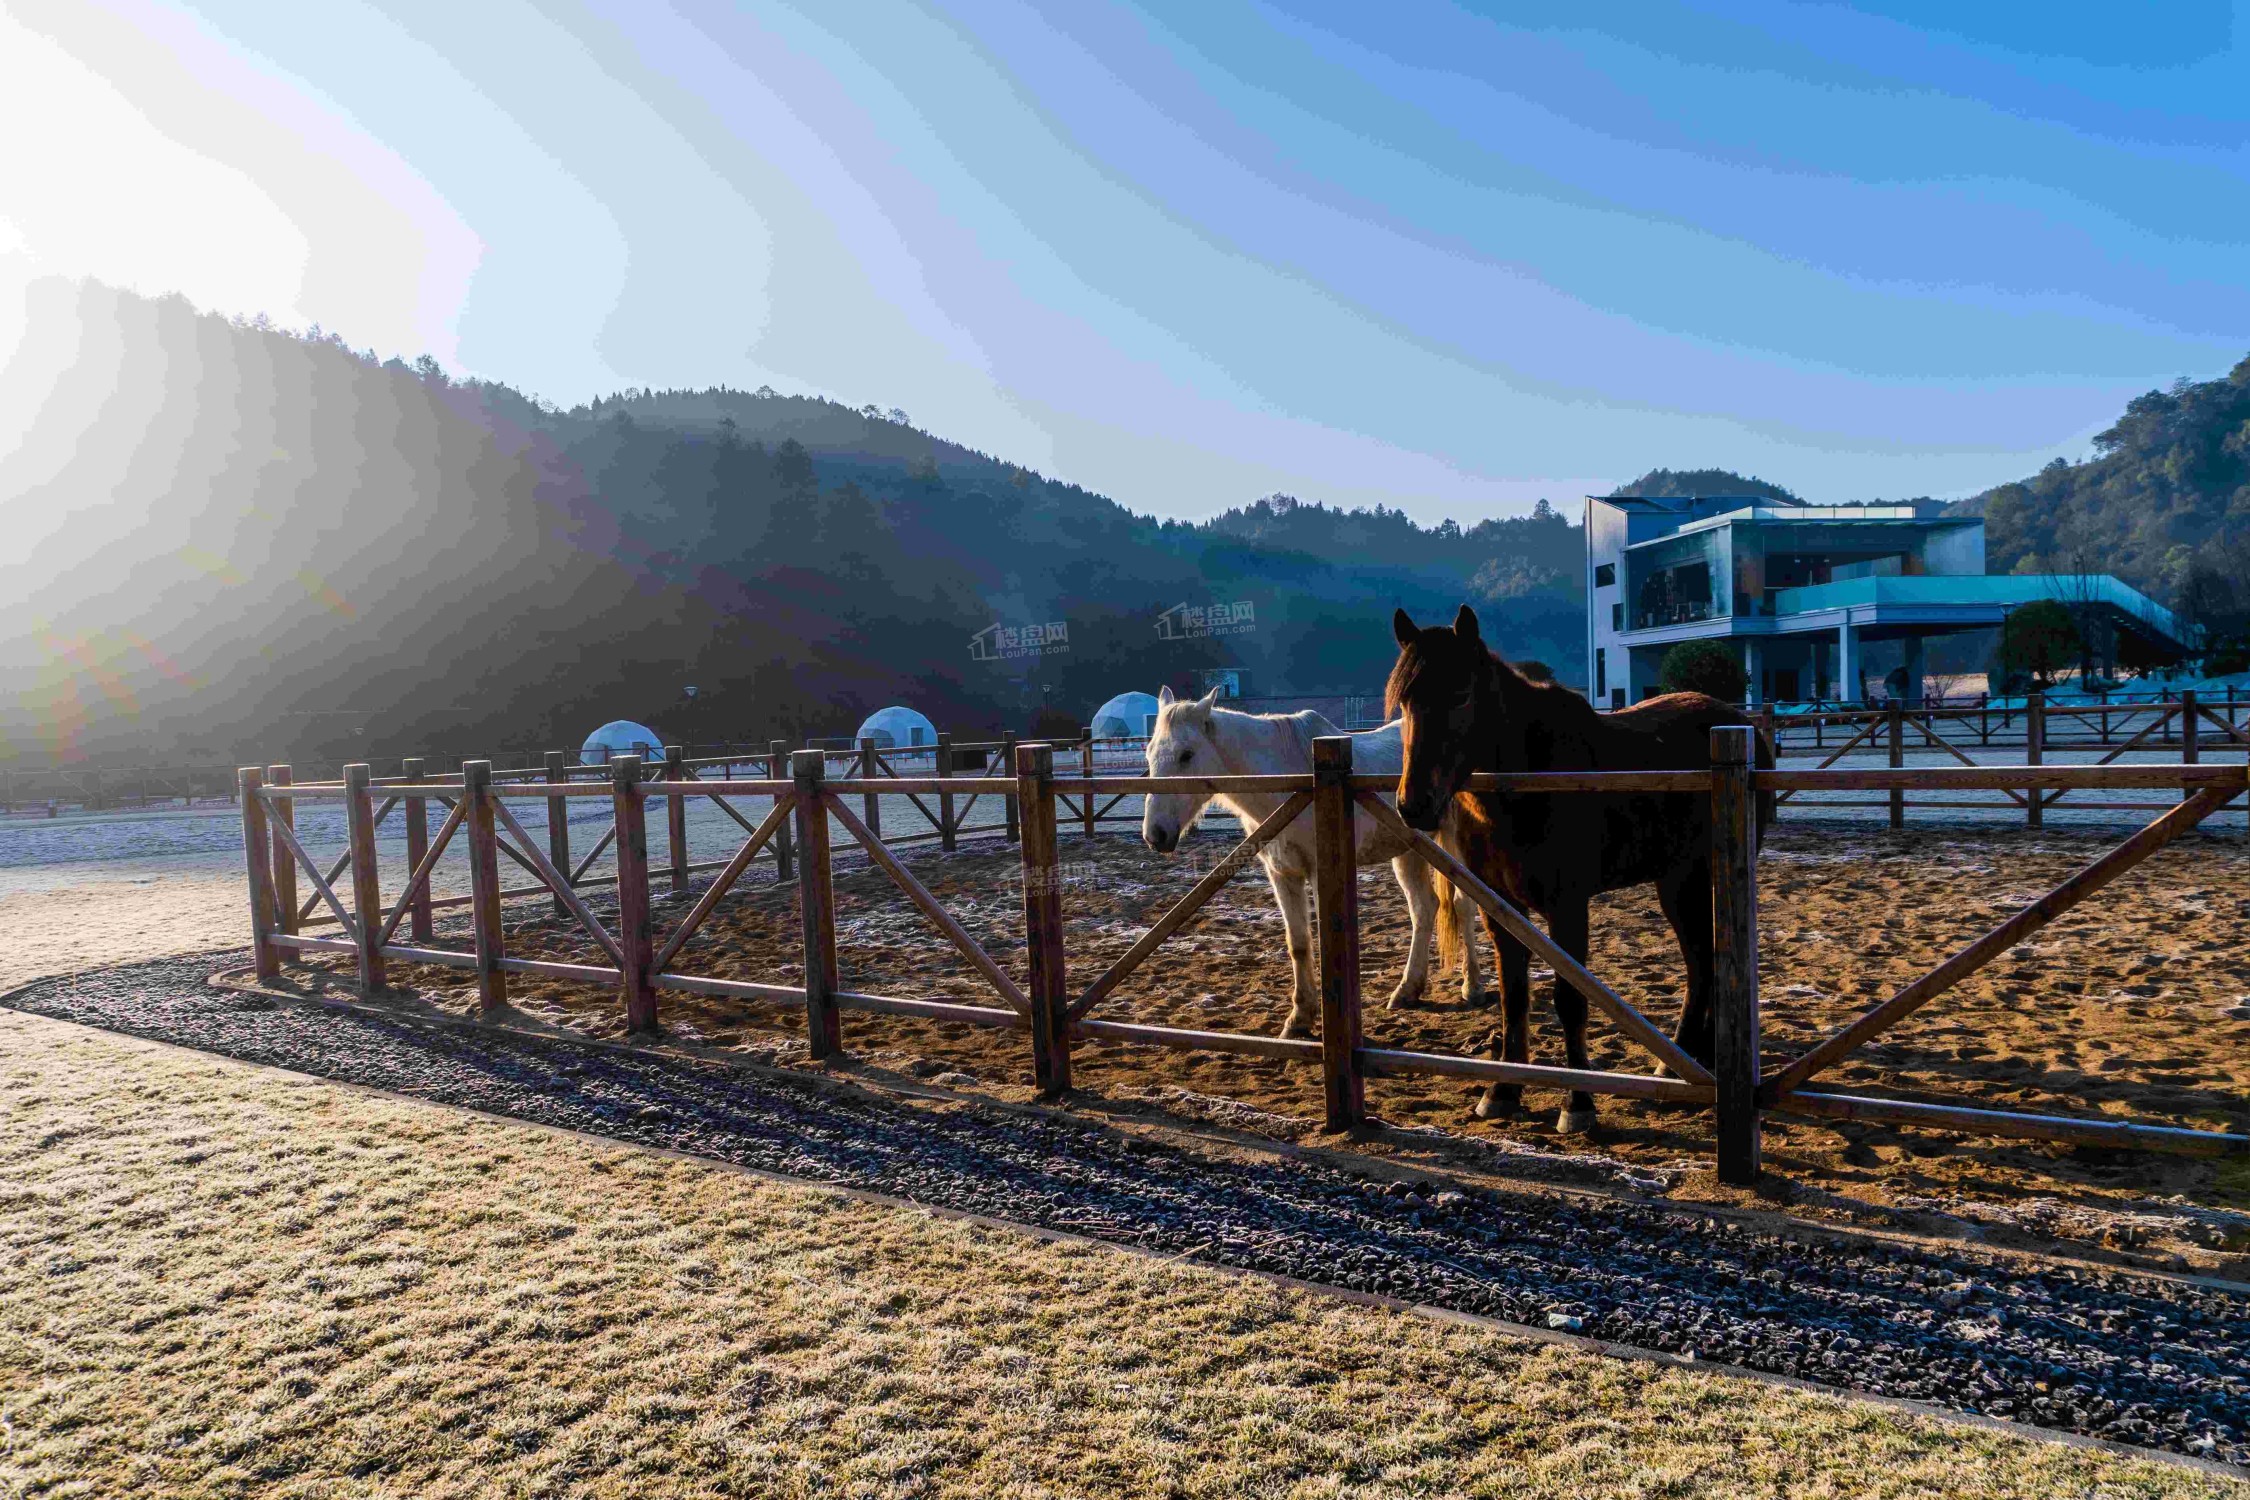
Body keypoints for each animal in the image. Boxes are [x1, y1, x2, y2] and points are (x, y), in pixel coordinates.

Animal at [1143, 688, 1476, 1038]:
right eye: (1149, 754)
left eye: (1186, 755)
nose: (1156, 834)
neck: (1290, 780)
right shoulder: (1282, 874)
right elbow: (1299, 943)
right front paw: (1299, 1018)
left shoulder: (1320, 872)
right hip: (1409, 851)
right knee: (1424, 908)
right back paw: (1408, 990)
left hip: (1454, 846)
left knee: (1463, 904)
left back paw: (1473, 987)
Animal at [1377, 602, 1764, 1133]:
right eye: (1404, 703)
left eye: (1461, 695)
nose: (1413, 806)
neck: (1527, 781)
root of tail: (1741, 726)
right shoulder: (1502, 911)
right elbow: (1514, 997)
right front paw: (1502, 1092)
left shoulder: (1568, 906)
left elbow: (1570, 999)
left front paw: (1578, 1102)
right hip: (1677, 882)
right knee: (1700, 962)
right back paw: (1681, 1061)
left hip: (1698, 879)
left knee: (1703, 963)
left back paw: (1680, 1063)